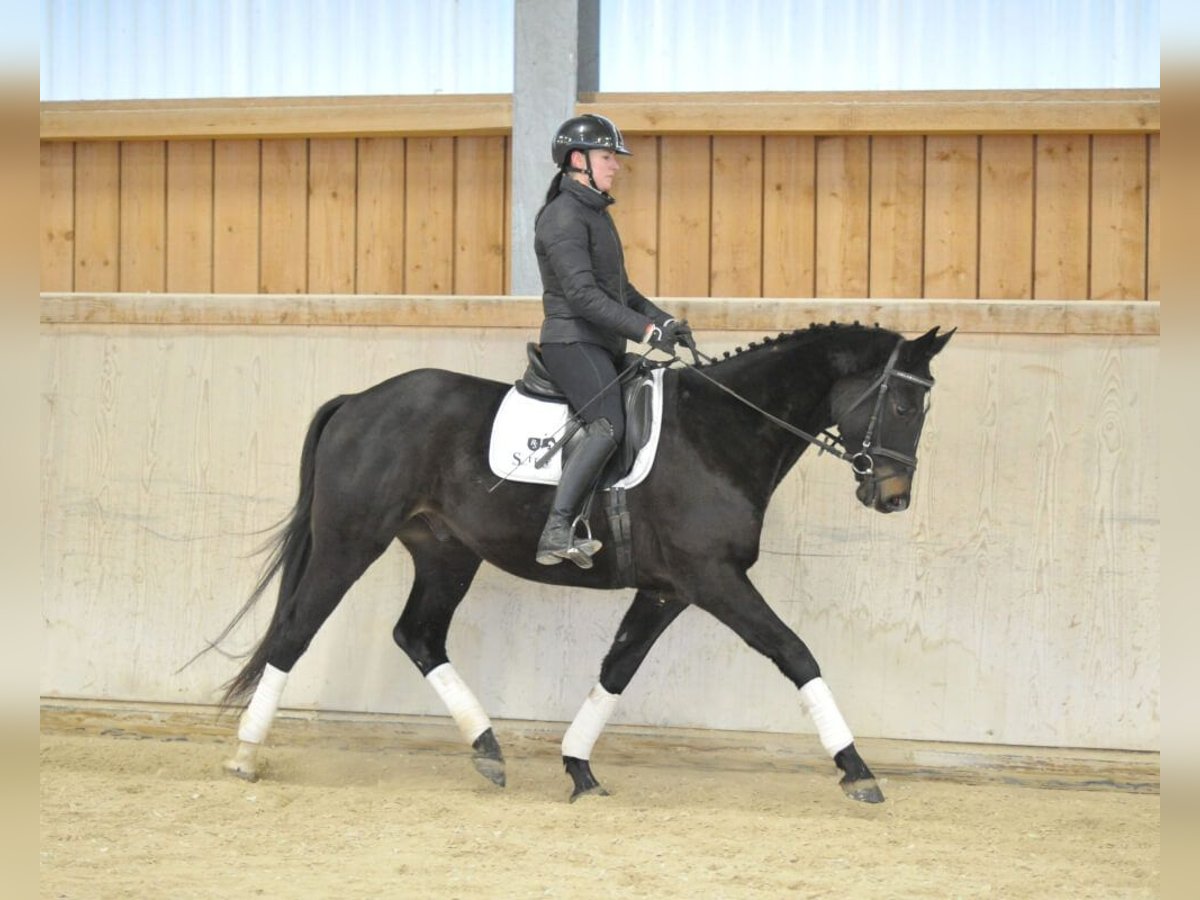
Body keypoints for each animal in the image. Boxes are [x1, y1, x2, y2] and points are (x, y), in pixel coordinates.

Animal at [211, 321, 950, 801]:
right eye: (902, 401)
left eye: (923, 404)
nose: (894, 497)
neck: (719, 433)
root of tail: (358, 401)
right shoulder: (714, 578)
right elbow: (794, 652)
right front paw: (856, 769)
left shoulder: (669, 589)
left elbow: (617, 668)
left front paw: (578, 768)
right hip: (350, 541)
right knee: (296, 630)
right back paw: (246, 755)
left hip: (446, 552)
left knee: (417, 635)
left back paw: (487, 750)